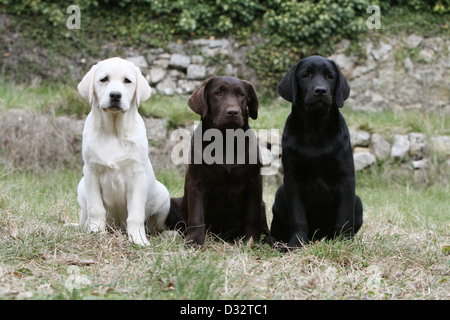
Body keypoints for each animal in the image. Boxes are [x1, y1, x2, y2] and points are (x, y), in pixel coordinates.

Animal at [76, 57, 170, 246]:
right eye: (104, 79)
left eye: (127, 81)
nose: (115, 95)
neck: (113, 131)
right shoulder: (91, 172)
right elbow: (96, 208)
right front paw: (96, 231)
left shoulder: (137, 176)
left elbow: (135, 214)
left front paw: (138, 239)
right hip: (81, 187)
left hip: (164, 195)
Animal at [167, 75, 268, 245]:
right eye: (218, 93)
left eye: (241, 94)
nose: (233, 112)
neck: (226, 141)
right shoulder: (197, 183)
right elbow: (197, 216)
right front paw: (194, 241)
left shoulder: (254, 181)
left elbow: (252, 215)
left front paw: (250, 241)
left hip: (263, 204)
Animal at [270, 55, 362, 250]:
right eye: (306, 75)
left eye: (330, 76)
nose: (321, 91)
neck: (315, 130)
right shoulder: (292, 179)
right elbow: (298, 217)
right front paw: (296, 244)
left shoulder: (346, 177)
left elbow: (344, 217)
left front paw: (344, 244)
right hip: (280, 193)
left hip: (358, 202)